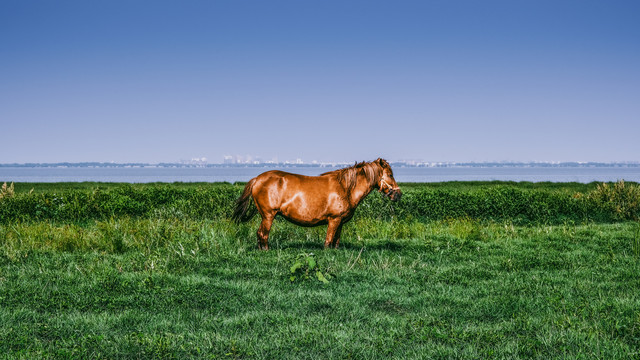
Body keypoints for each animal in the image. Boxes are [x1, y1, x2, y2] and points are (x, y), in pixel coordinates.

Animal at [231, 158, 400, 250]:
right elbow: (328, 241)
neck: (345, 187)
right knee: (263, 234)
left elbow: (336, 241)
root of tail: (257, 179)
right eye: (390, 174)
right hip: (268, 215)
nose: (398, 194)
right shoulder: (334, 220)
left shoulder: (340, 222)